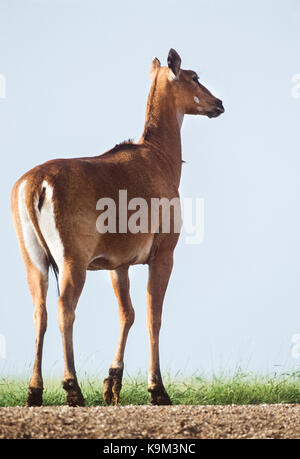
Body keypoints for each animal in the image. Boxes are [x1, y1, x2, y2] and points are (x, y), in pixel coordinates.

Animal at [10, 49, 224, 410]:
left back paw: (34, 392)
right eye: (194, 77)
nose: (219, 103)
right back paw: (73, 389)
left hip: (34, 260)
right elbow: (153, 315)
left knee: (40, 312)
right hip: (72, 258)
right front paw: (157, 389)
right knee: (65, 309)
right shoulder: (163, 254)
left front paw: (112, 384)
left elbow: (128, 313)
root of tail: (35, 185)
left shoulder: (117, 264)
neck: (160, 158)